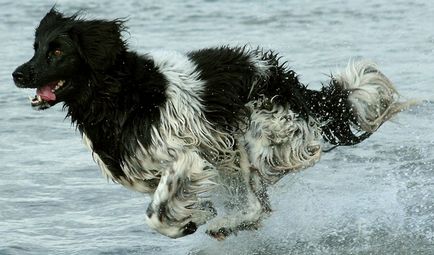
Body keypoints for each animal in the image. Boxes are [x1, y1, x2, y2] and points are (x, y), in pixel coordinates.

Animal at [11, 8, 408, 239]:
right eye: (36, 47)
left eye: (57, 51)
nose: (17, 74)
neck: (120, 94)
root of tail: (288, 82)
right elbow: (167, 203)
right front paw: (198, 212)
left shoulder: (187, 157)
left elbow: (156, 214)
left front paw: (191, 221)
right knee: (259, 207)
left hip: (252, 137)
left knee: (257, 206)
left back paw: (228, 224)